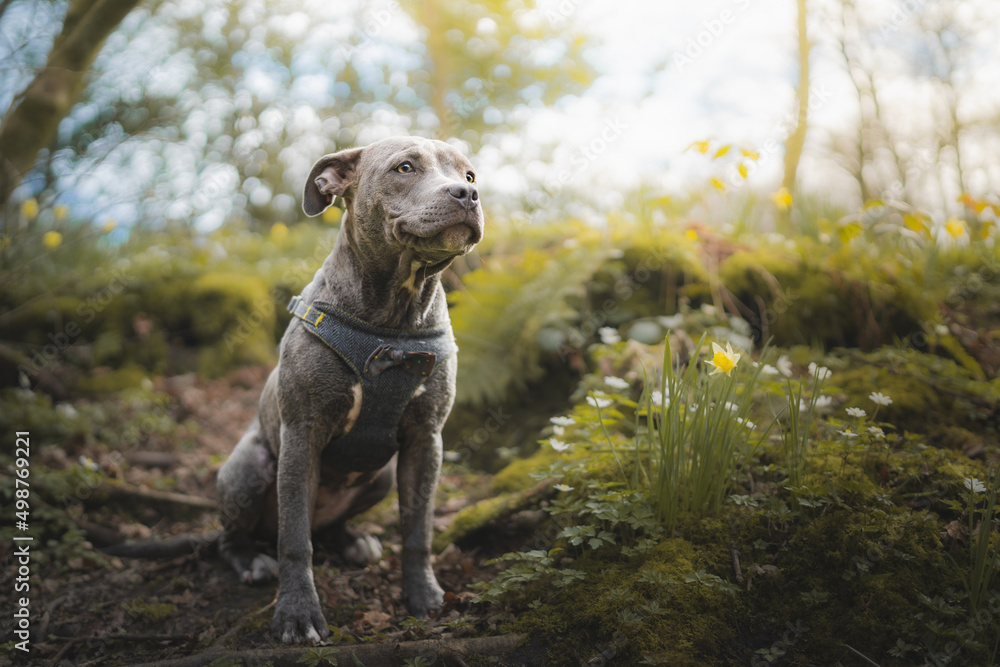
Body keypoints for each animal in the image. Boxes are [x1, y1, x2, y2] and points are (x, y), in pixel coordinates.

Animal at [107, 137, 482, 648]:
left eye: (469, 175)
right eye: (405, 167)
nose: (467, 196)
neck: (393, 321)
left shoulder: (426, 440)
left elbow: (418, 527)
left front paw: (423, 594)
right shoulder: (302, 435)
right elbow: (294, 539)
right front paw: (297, 614)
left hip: (382, 476)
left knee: (328, 527)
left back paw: (351, 542)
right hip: (251, 467)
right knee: (238, 539)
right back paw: (252, 561)